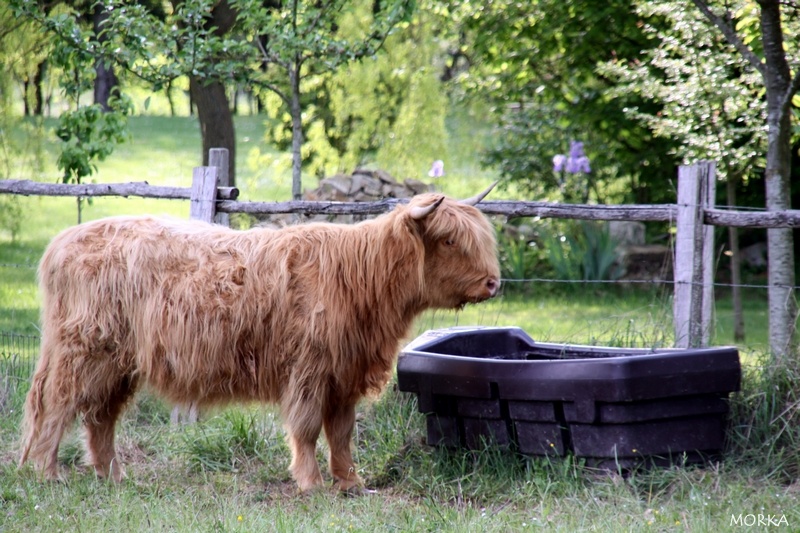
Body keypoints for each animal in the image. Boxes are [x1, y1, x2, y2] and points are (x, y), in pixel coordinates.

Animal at [20, 186, 500, 490]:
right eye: (450, 240)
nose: (494, 283)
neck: (362, 279)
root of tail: (63, 241)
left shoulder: (344, 374)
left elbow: (342, 432)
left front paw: (350, 481)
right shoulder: (309, 370)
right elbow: (307, 428)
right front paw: (311, 483)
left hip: (119, 363)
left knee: (100, 416)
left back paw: (111, 476)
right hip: (83, 350)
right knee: (56, 402)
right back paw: (46, 472)